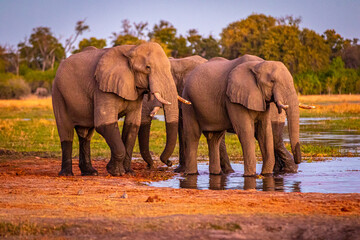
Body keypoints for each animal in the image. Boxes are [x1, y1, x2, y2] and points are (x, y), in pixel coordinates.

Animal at [51, 41, 179, 176]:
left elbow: (132, 125)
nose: (169, 163)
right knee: (66, 131)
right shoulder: (102, 87)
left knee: (85, 135)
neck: (132, 49)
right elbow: (104, 124)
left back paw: (91, 172)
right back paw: (67, 174)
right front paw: (116, 172)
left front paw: (128, 172)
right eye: (148, 67)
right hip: (58, 94)